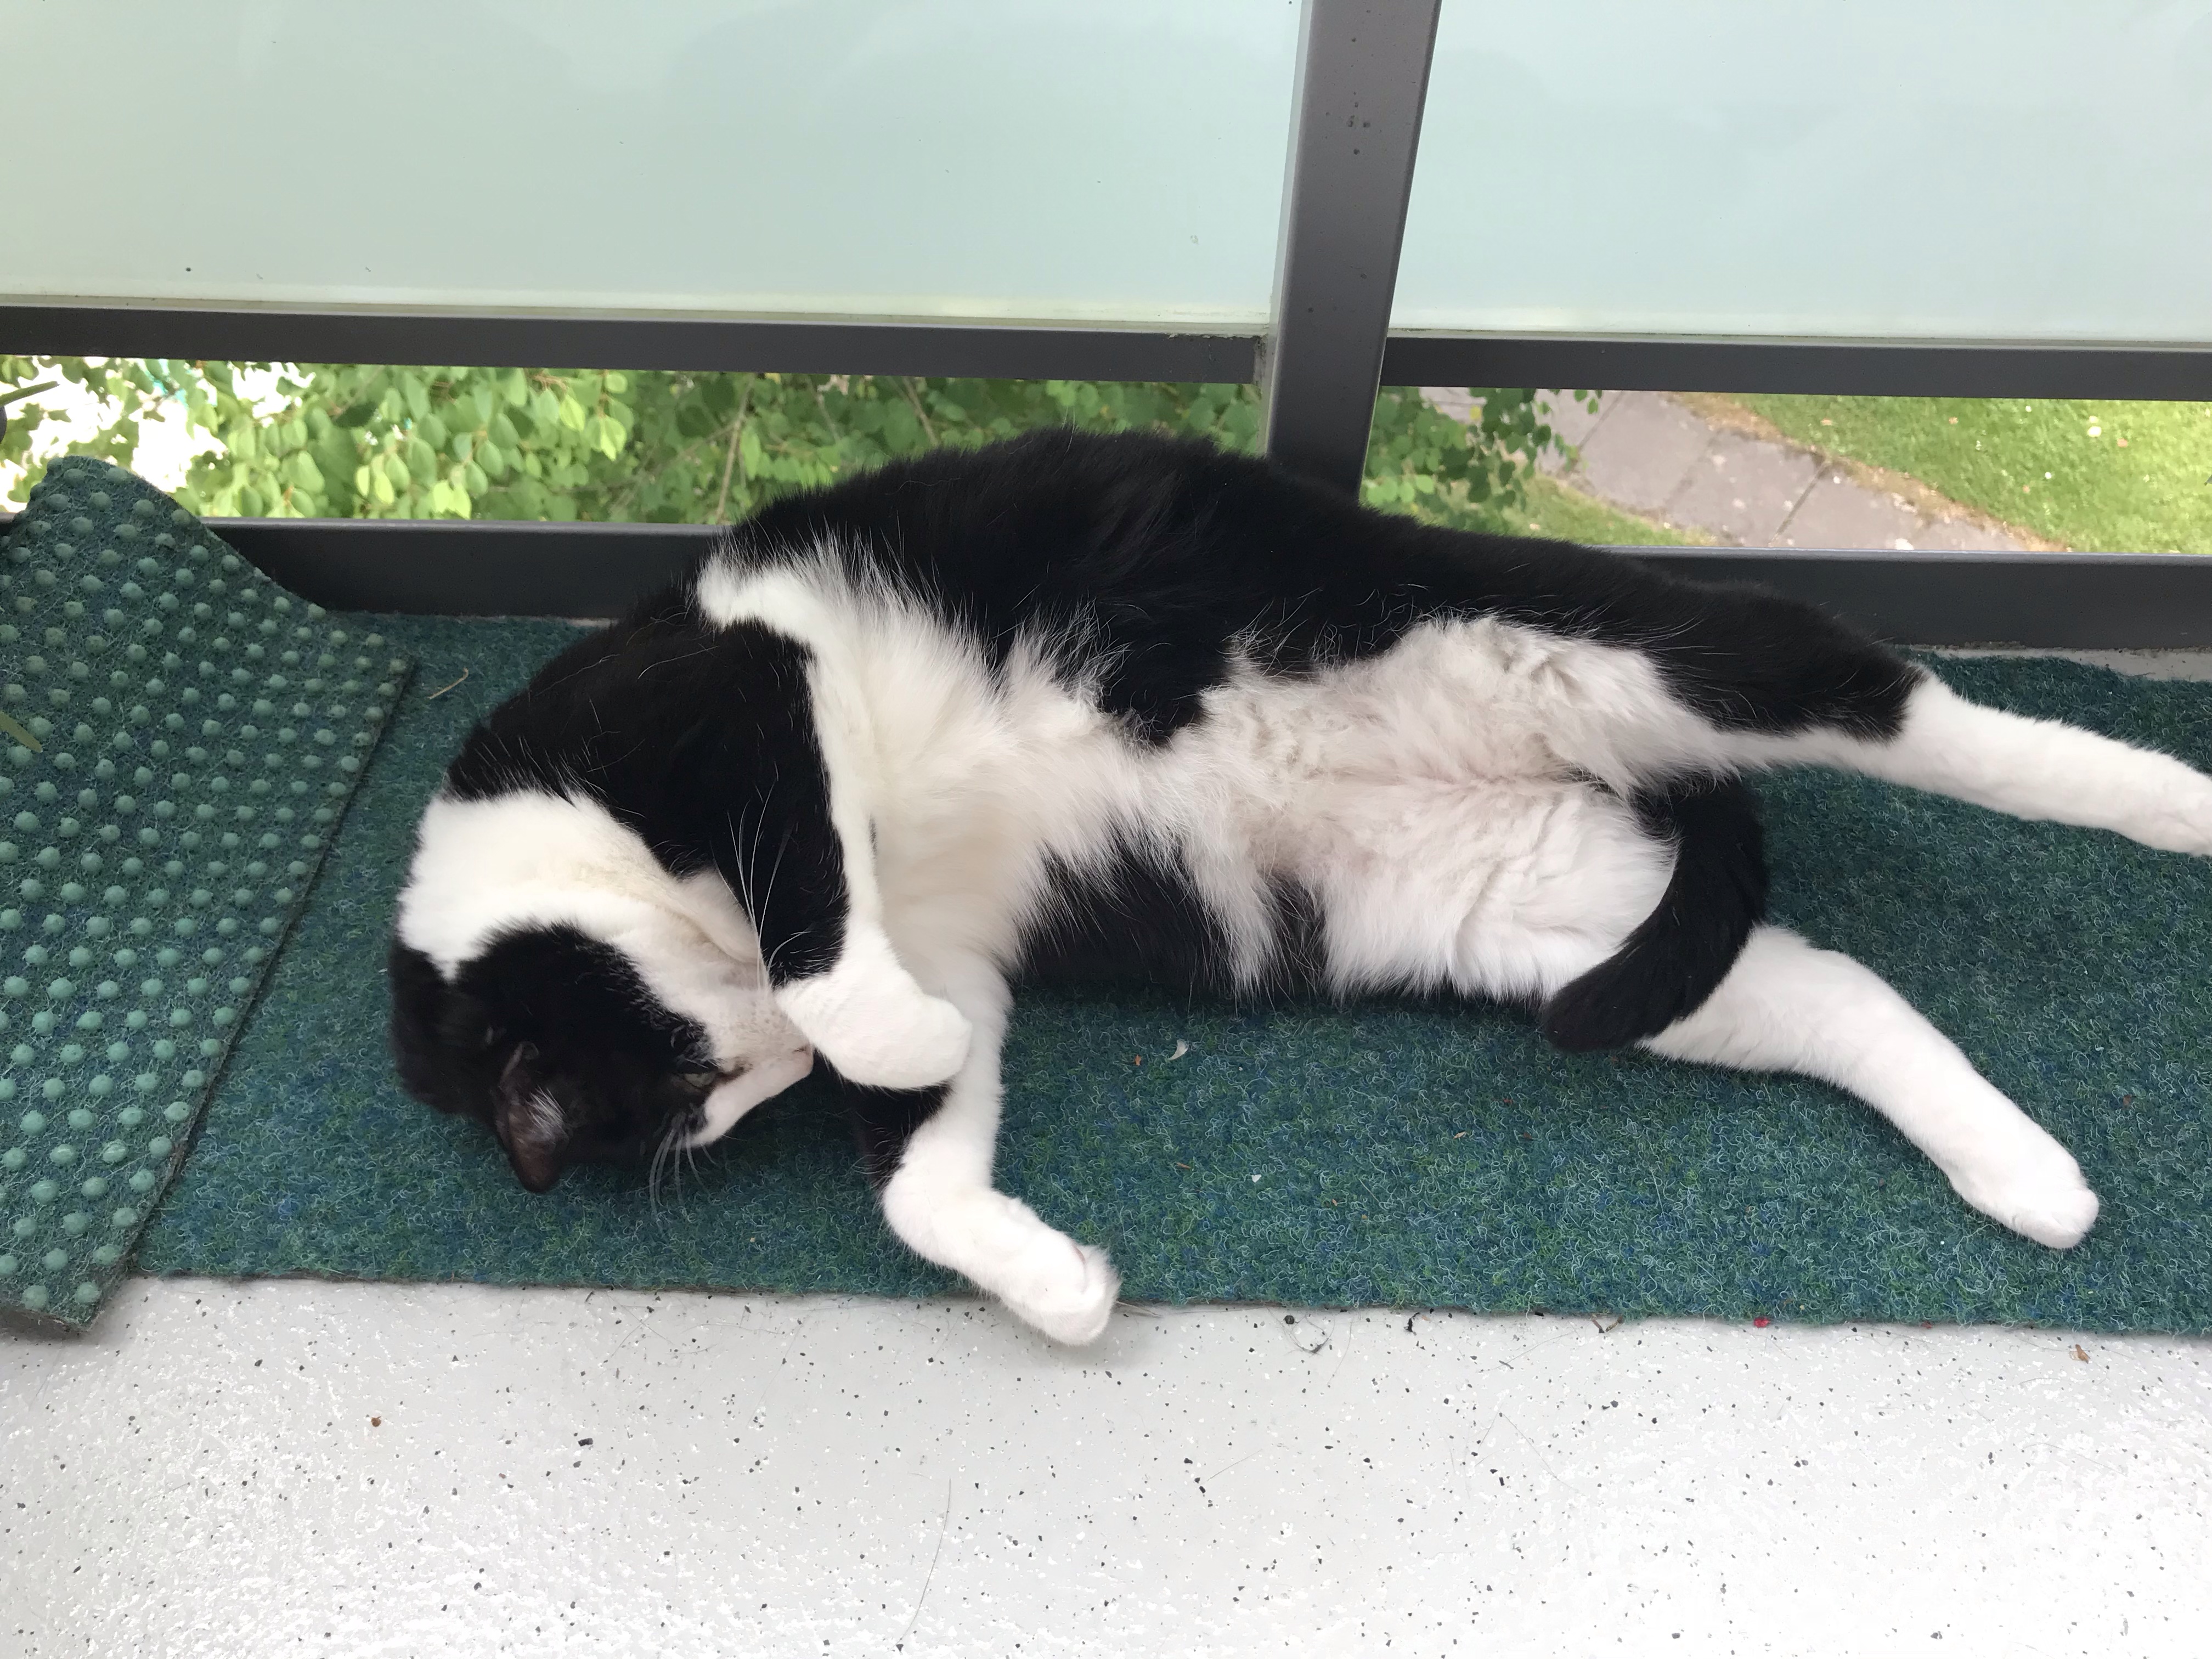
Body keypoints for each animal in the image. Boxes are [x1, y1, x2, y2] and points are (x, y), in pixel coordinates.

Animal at [388, 427, 2212, 1344]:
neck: (563, 830)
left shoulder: (743, 701)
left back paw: (2172, 801)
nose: (776, 1068)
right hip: (1541, 917)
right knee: (1826, 986)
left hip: (1587, 647)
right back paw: (2027, 1176)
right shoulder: (961, 947)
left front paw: (872, 1033)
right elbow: (921, 1173)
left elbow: (825, 926)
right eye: (717, 1103)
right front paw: (1057, 1289)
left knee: (1901, 705)